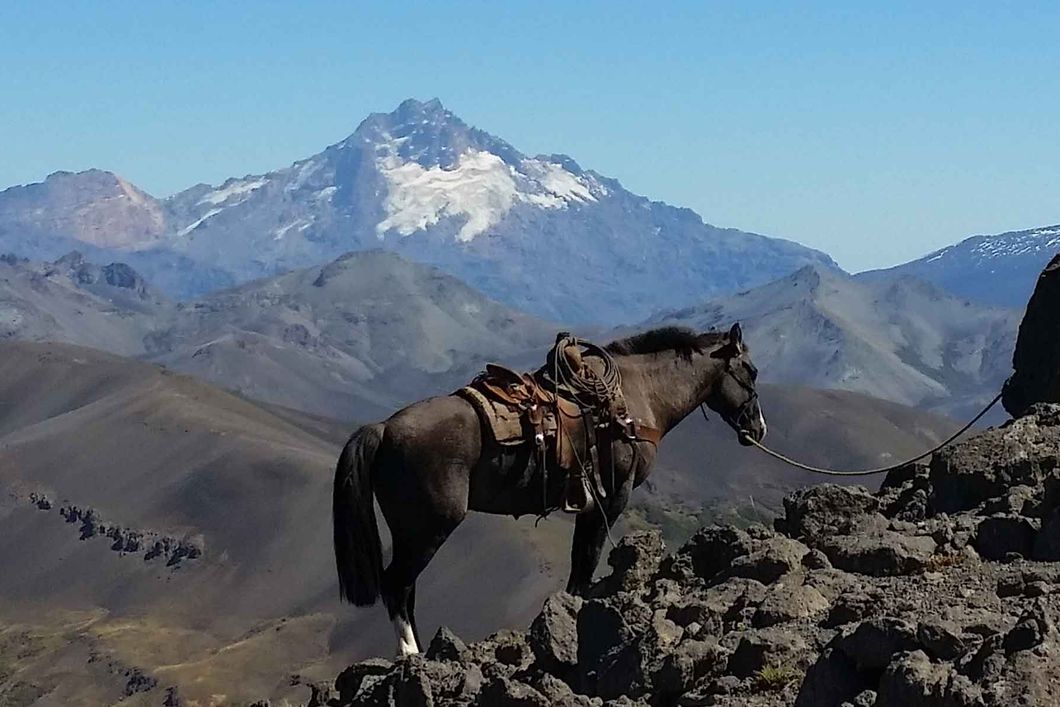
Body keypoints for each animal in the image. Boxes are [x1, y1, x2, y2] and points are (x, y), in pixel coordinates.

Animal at [333, 323, 766, 656]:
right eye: (752, 370)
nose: (758, 428)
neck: (636, 399)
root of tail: (384, 428)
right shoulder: (612, 498)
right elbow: (587, 561)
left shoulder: (589, 505)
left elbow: (579, 563)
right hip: (427, 529)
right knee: (397, 585)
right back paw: (410, 654)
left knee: (404, 589)